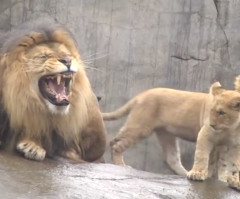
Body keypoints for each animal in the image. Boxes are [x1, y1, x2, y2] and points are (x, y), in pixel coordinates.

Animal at [102, 77, 240, 176]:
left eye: (221, 112)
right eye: (212, 111)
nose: (212, 124)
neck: (232, 126)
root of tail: (142, 94)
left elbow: (227, 163)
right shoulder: (208, 135)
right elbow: (209, 158)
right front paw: (204, 174)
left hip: (166, 133)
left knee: (171, 158)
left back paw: (184, 174)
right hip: (141, 126)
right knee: (116, 143)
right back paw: (120, 164)